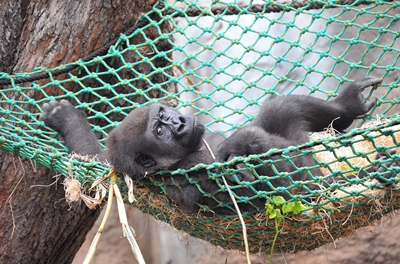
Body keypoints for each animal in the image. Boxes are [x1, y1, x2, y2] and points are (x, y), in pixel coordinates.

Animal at [39, 76, 394, 214]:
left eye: (163, 114)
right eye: (160, 130)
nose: (180, 122)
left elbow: (94, 157)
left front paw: (64, 118)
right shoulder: (188, 172)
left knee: (279, 110)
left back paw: (348, 108)